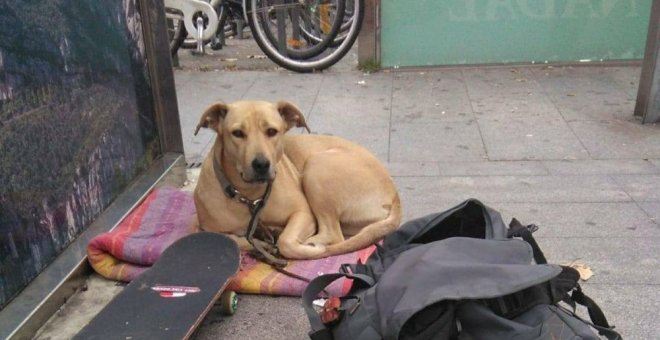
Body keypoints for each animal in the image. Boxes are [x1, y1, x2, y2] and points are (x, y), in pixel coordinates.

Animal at [192, 99, 402, 258]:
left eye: (272, 131)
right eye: (237, 133)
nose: (261, 164)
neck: (249, 195)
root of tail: (394, 195)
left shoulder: (304, 213)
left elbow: (285, 242)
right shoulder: (202, 227)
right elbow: (230, 239)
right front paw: (261, 241)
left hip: (317, 166)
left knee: (334, 236)